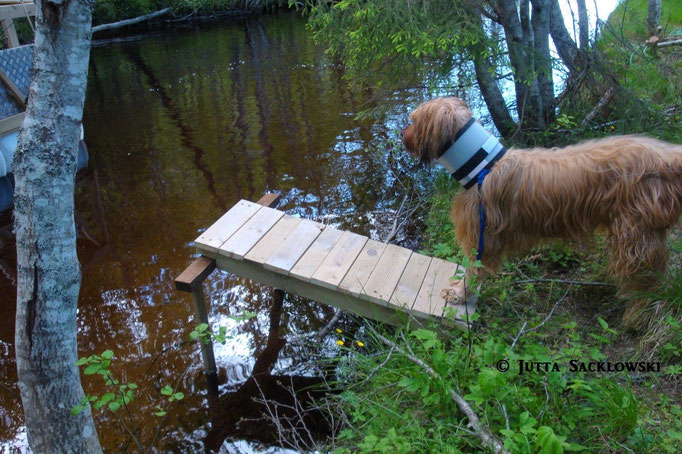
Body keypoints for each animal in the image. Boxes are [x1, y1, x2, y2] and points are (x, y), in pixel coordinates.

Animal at [402, 96, 680, 330]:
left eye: (414, 120)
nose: (403, 133)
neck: (483, 166)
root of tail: (669, 156)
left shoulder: (482, 235)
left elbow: (474, 270)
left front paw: (460, 293)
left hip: (636, 234)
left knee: (646, 278)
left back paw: (637, 314)